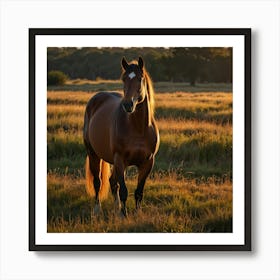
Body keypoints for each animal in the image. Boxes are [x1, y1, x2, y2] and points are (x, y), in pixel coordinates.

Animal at [83, 56, 160, 217]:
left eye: (140, 78)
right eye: (124, 79)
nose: (127, 104)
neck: (138, 129)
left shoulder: (147, 162)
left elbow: (138, 192)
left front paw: (137, 214)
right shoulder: (120, 160)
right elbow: (124, 190)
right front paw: (124, 215)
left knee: (112, 181)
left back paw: (116, 207)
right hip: (93, 154)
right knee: (98, 182)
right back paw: (98, 210)